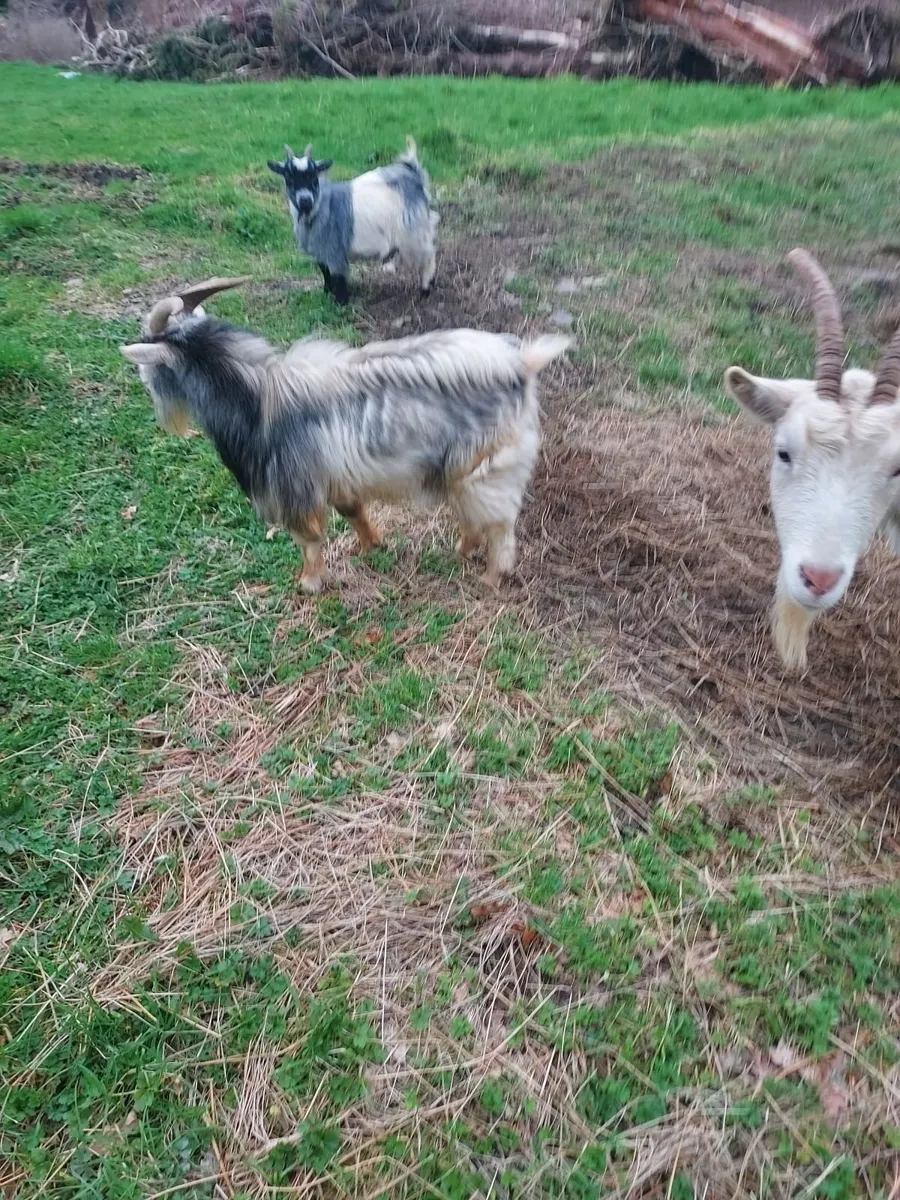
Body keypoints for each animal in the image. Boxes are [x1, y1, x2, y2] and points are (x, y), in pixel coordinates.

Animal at [121, 280, 571, 593]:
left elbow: (308, 538)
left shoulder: (295, 488)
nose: (143, 386)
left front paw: (309, 583)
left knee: (500, 528)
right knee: (475, 520)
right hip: (462, 473)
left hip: (490, 472)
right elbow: (353, 511)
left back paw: (490, 578)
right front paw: (372, 546)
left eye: (150, 364)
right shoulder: (337, 479)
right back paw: (459, 555)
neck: (255, 397)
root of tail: (523, 365)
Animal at [267, 138, 438, 306]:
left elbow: (339, 278)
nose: (305, 201)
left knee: (428, 256)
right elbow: (325, 272)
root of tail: (413, 172)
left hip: (415, 230)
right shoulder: (322, 251)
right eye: (289, 178)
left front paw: (340, 303)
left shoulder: (335, 251)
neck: (323, 206)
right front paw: (326, 293)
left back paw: (425, 289)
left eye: (314, 177)